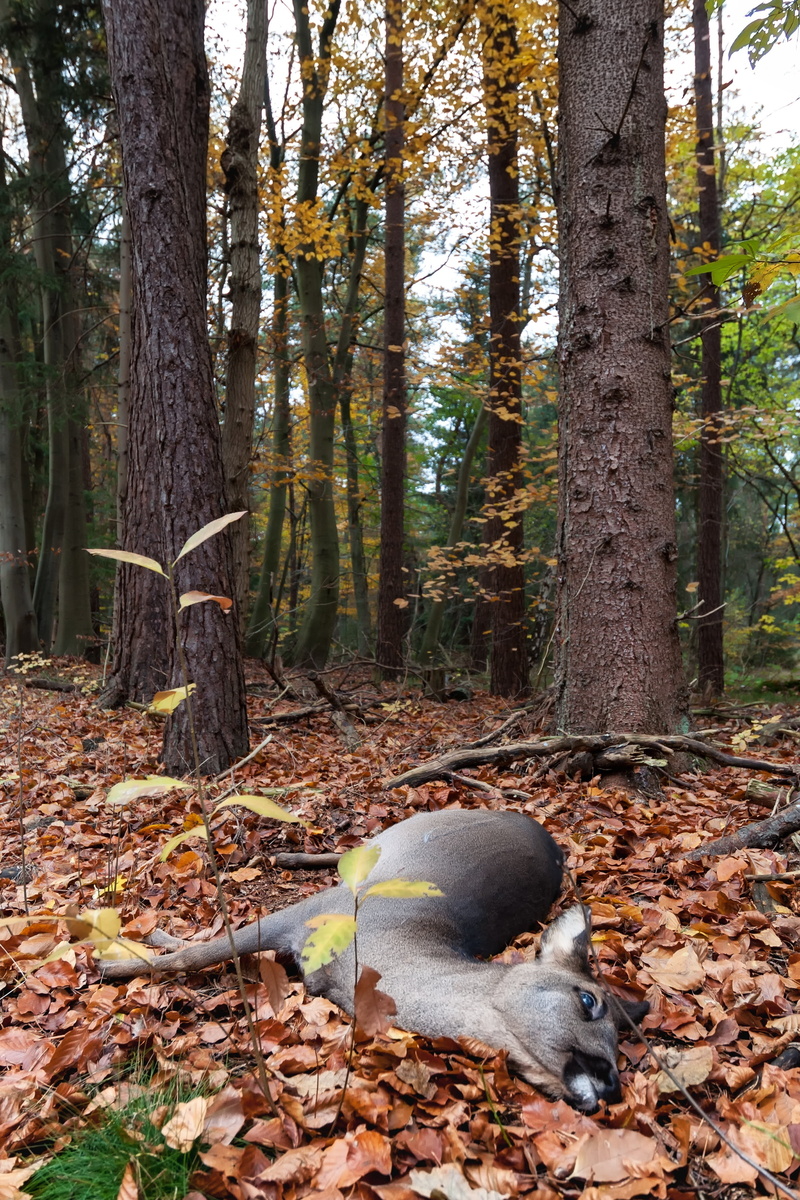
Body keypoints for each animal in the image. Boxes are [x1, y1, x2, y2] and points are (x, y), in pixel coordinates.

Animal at [101, 808, 648, 1111]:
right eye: (589, 1001)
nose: (611, 1085)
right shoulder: (314, 912)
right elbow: (202, 950)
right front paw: (115, 961)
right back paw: (282, 856)